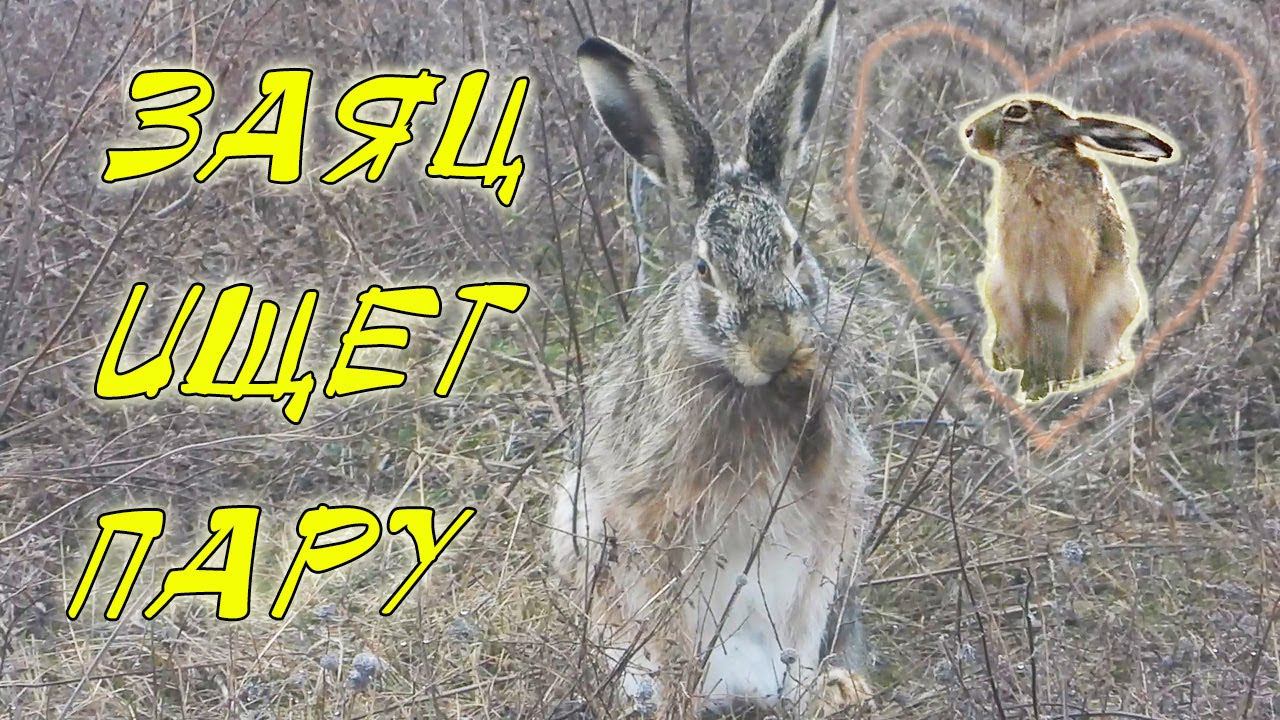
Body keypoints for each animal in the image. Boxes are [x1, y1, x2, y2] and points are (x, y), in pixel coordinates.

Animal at [550, 0, 874, 716]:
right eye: (705, 270)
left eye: (795, 250)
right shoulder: (655, 514)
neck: (758, 390)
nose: (774, 347)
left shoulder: (830, 480)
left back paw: (833, 689)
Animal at [960, 94, 1177, 401]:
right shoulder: (1017, 278)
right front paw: (1031, 386)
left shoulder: (1079, 274)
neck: (1037, 160)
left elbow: (1075, 323)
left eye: (1016, 111)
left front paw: (1068, 382)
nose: (969, 131)